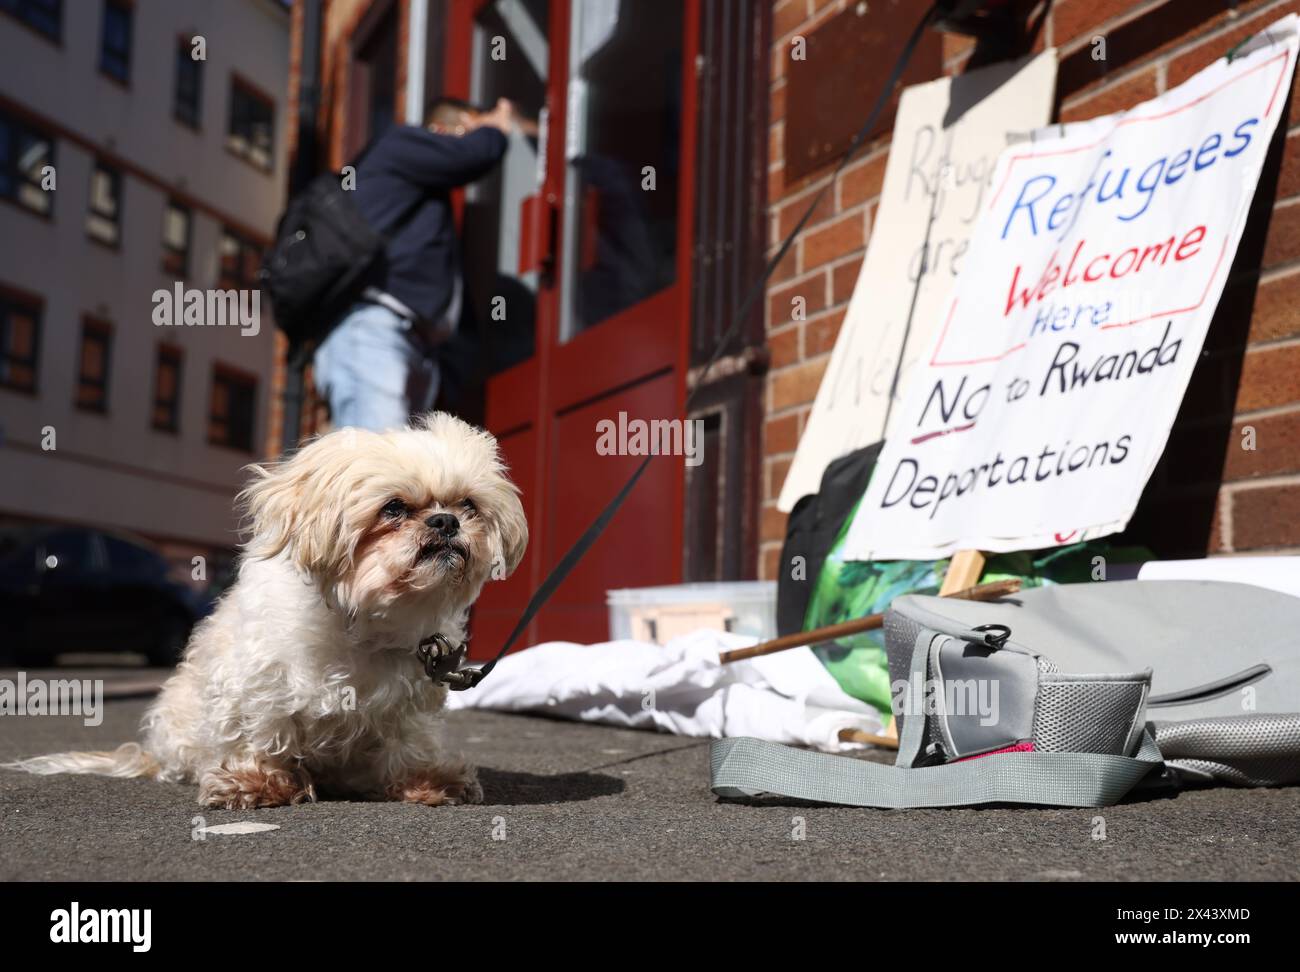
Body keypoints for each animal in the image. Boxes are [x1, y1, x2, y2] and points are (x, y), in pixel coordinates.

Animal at [6, 413, 522, 810]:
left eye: (467, 504)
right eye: (393, 508)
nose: (445, 521)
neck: (364, 622)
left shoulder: (409, 702)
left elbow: (407, 743)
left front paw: (425, 780)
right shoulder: (259, 682)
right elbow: (263, 733)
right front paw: (257, 783)